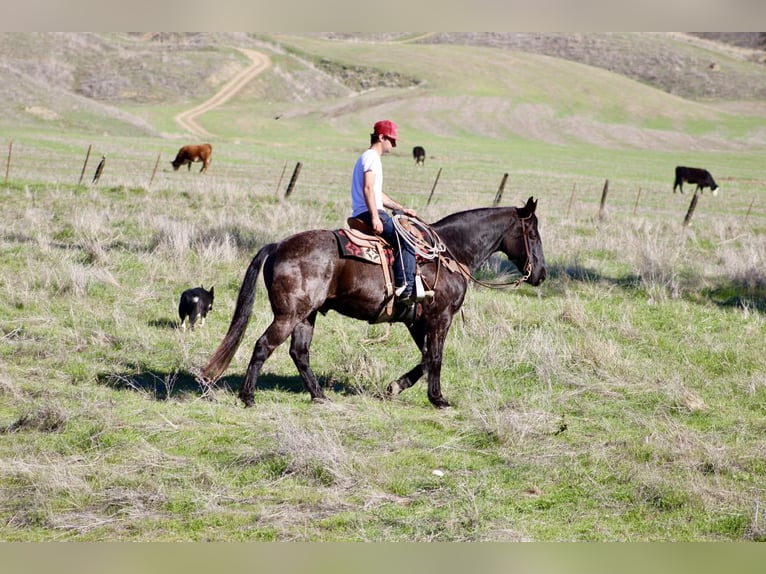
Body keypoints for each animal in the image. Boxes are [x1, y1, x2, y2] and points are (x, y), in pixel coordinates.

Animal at [201, 196, 546, 409]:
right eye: (533, 235)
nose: (540, 274)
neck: (450, 252)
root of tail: (277, 246)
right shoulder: (440, 317)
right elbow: (435, 357)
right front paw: (438, 399)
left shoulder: (416, 321)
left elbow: (425, 357)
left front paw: (396, 386)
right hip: (289, 314)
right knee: (263, 345)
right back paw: (248, 397)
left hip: (306, 315)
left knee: (299, 353)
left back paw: (320, 396)